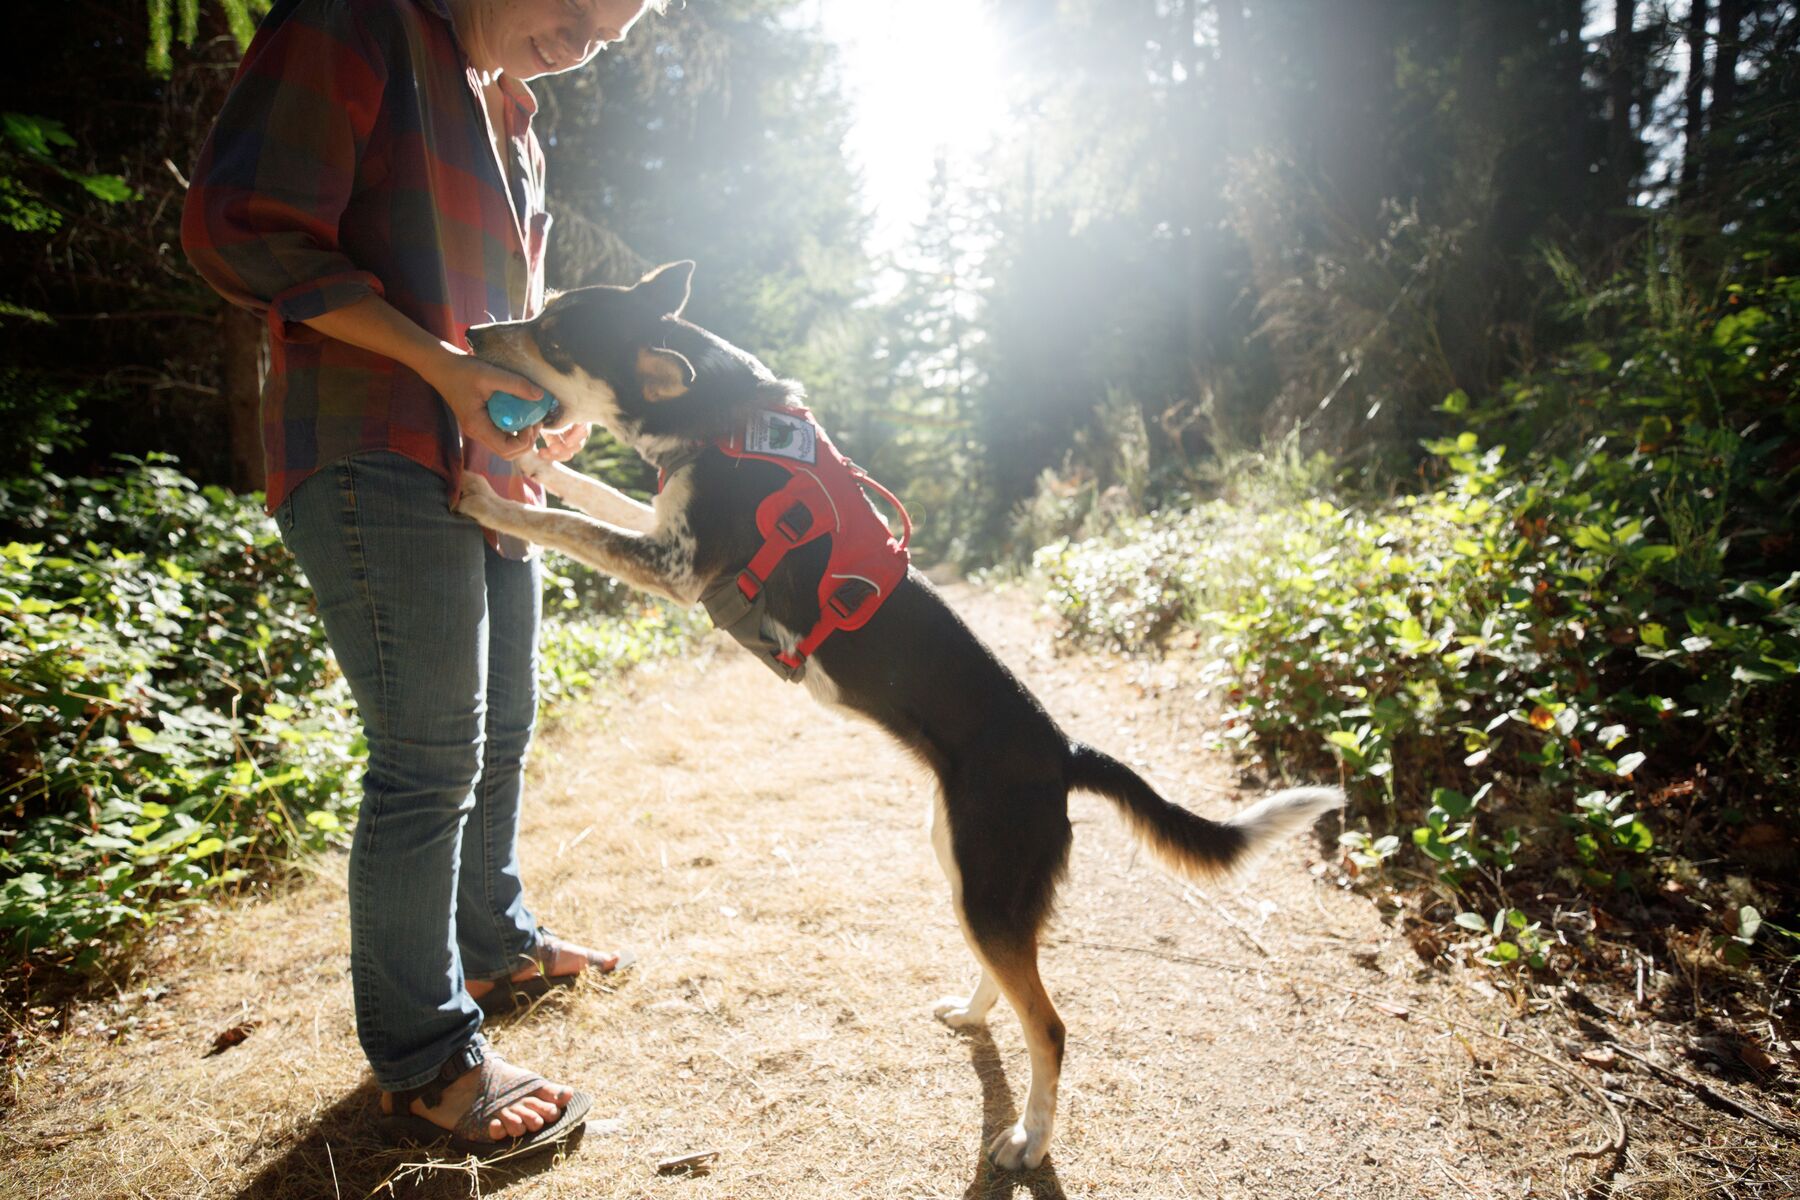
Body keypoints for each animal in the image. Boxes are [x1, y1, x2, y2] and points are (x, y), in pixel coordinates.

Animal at [457, 262, 1346, 1173]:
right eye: (543, 312)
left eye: (555, 338)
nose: (478, 334)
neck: (723, 418)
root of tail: (1062, 749)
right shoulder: (664, 530)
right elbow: (589, 494)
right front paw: (536, 463)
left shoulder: (674, 566)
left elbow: (565, 523)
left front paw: (489, 497)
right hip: (965, 867)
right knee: (1011, 978)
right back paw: (974, 1013)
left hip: (986, 879)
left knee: (1051, 1025)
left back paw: (1028, 1140)